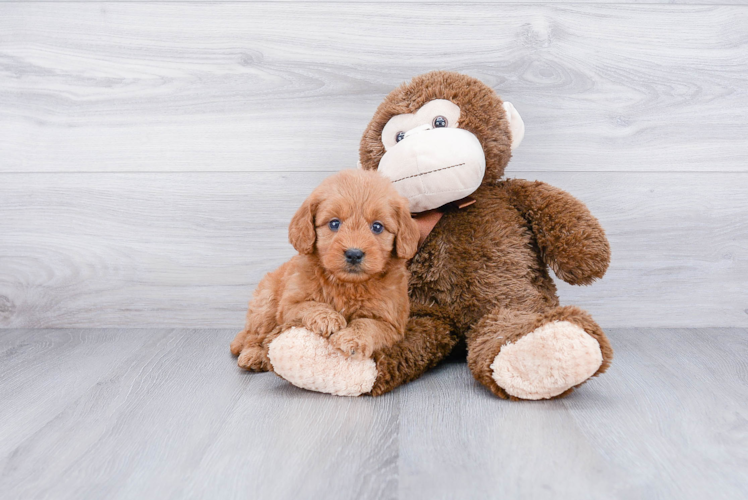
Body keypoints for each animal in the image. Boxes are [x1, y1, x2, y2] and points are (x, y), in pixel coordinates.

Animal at [231, 169, 420, 372]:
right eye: (334, 224)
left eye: (377, 227)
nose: (354, 254)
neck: (347, 285)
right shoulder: (289, 305)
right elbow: (311, 305)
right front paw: (328, 318)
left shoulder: (392, 324)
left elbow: (368, 324)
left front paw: (351, 338)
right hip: (265, 302)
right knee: (255, 334)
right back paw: (253, 354)